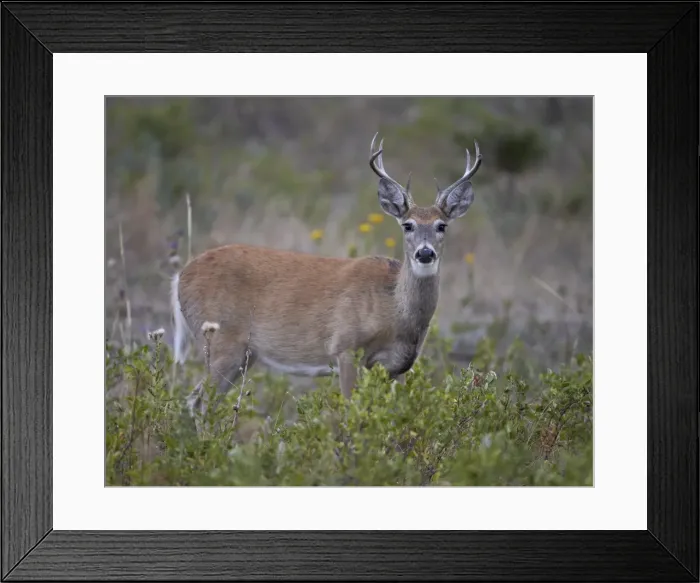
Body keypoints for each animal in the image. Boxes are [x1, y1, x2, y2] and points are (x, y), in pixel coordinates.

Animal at [171, 133, 482, 417]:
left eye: (442, 225)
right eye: (408, 225)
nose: (425, 253)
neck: (393, 309)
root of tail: (180, 276)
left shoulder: (397, 366)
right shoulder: (345, 347)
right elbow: (351, 415)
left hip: (244, 354)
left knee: (197, 400)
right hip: (221, 341)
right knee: (200, 402)